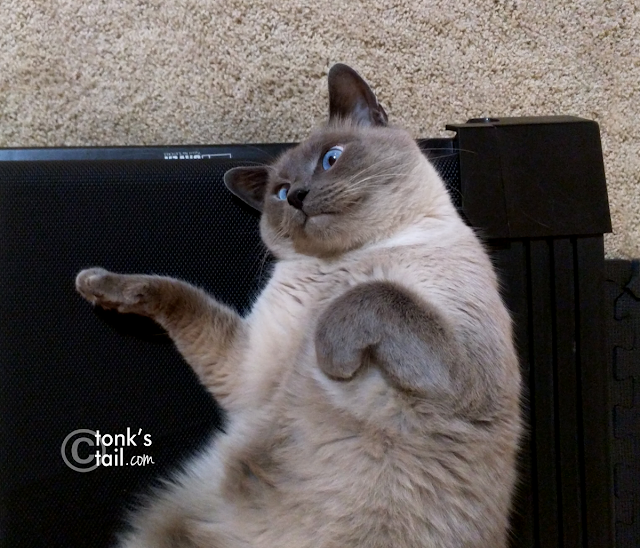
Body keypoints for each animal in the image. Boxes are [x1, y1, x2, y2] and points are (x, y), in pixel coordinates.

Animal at [77, 65, 524, 548]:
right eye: (281, 191)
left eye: (331, 159)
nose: (297, 197)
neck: (347, 259)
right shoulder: (247, 372)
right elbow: (178, 293)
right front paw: (95, 285)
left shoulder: (468, 374)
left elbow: (369, 294)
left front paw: (331, 357)